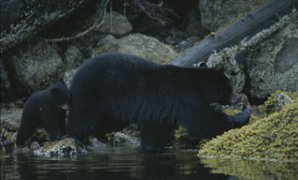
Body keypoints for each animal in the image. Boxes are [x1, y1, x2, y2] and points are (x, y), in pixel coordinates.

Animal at [67, 52, 249, 150]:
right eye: (230, 87)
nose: (237, 98)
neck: (196, 84)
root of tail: (76, 75)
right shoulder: (184, 98)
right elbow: (203, 120)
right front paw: (243, 115)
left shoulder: (162, 110)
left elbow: (156, 128)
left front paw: (151, 145)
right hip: (92, 93)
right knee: (83, 119)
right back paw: (80, 138)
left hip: (112, 109)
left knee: (107, 122)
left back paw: (102, 137)